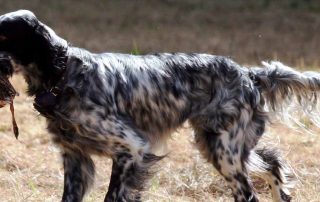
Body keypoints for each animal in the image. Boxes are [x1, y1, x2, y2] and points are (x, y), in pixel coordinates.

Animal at [0, 9, 320, 202]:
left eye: (4, 35)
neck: (64, 74)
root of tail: (247, 73)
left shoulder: (131, 148)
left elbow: (113, 194)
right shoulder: (75, 158)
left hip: (224, 151)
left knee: (249, 191)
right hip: (221, 144)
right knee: (271, 163)